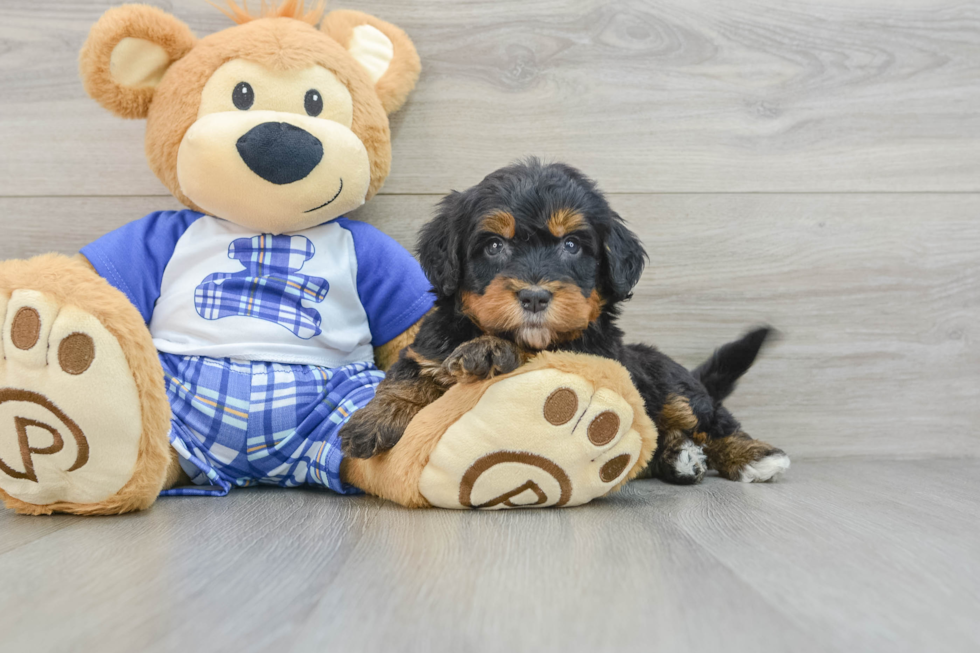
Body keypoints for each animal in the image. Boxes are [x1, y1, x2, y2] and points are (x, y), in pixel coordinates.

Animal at [340, 160, 792, 482]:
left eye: (572, 245)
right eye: (494, 246)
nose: (534, 296)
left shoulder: (587, 353)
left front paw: (489, 350)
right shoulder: (429, 347)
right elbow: (406, 376)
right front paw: (371, 421)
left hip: (672, 386)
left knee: (711, 419)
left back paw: (753, 456)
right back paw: (680, 457)